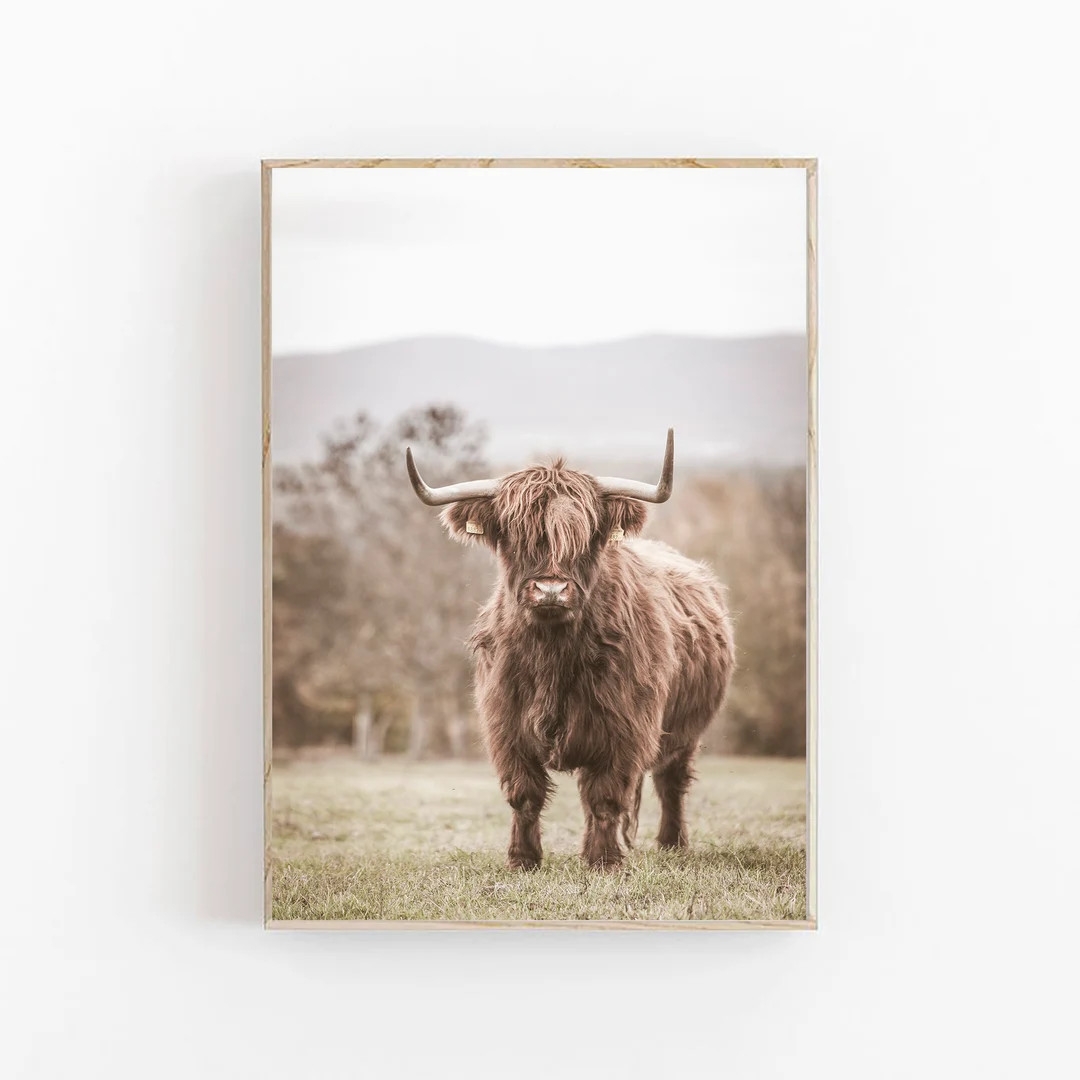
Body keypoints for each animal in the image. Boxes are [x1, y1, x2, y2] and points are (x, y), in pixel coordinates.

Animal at [405, 430, 734, 870]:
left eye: (586, 536)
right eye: (515, 534)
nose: (550, 590)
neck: (552, 654)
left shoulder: (624, 727)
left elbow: (606, 795)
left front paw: (604, 861)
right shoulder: (506, 724)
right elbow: (524, 795)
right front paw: (523, 859)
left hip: (685, 730)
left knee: (671, 782)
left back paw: (672, 843)